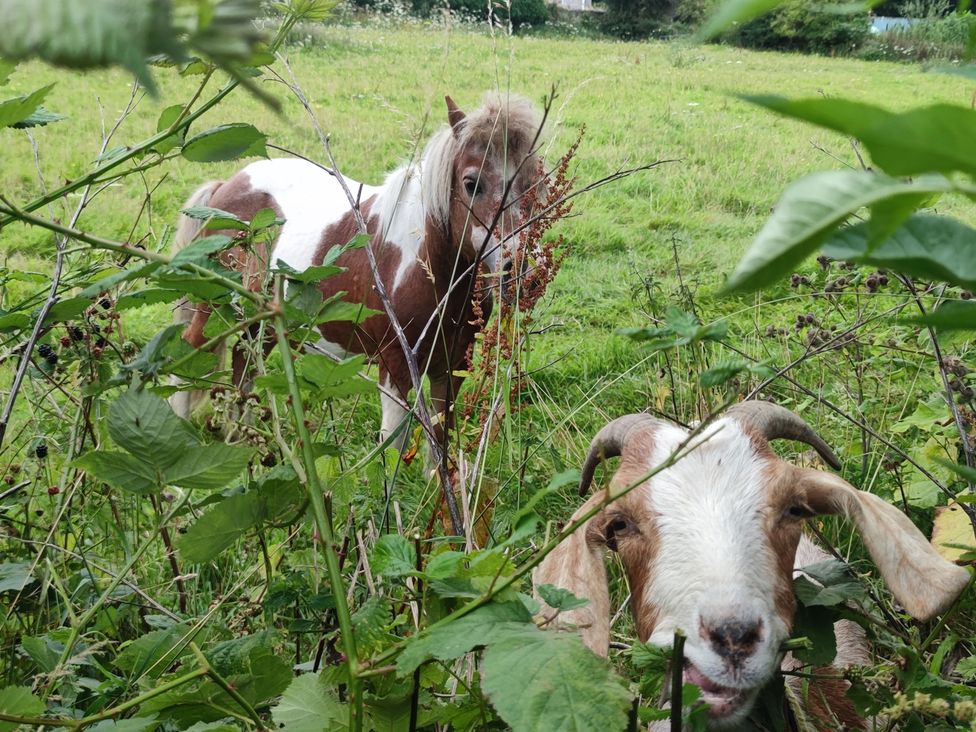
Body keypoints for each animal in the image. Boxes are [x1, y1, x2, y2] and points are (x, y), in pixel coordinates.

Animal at [171, 93, 544, 444]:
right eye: (471, 183)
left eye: (534, 182)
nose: (523, 274)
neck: (423, 267)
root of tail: (226, 186)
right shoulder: (396, 368)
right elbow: (394, 446)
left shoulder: (451, 369)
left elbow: (440, 448)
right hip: (213, 306)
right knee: (190, 349)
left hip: (259, 320)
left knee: (243, 362)